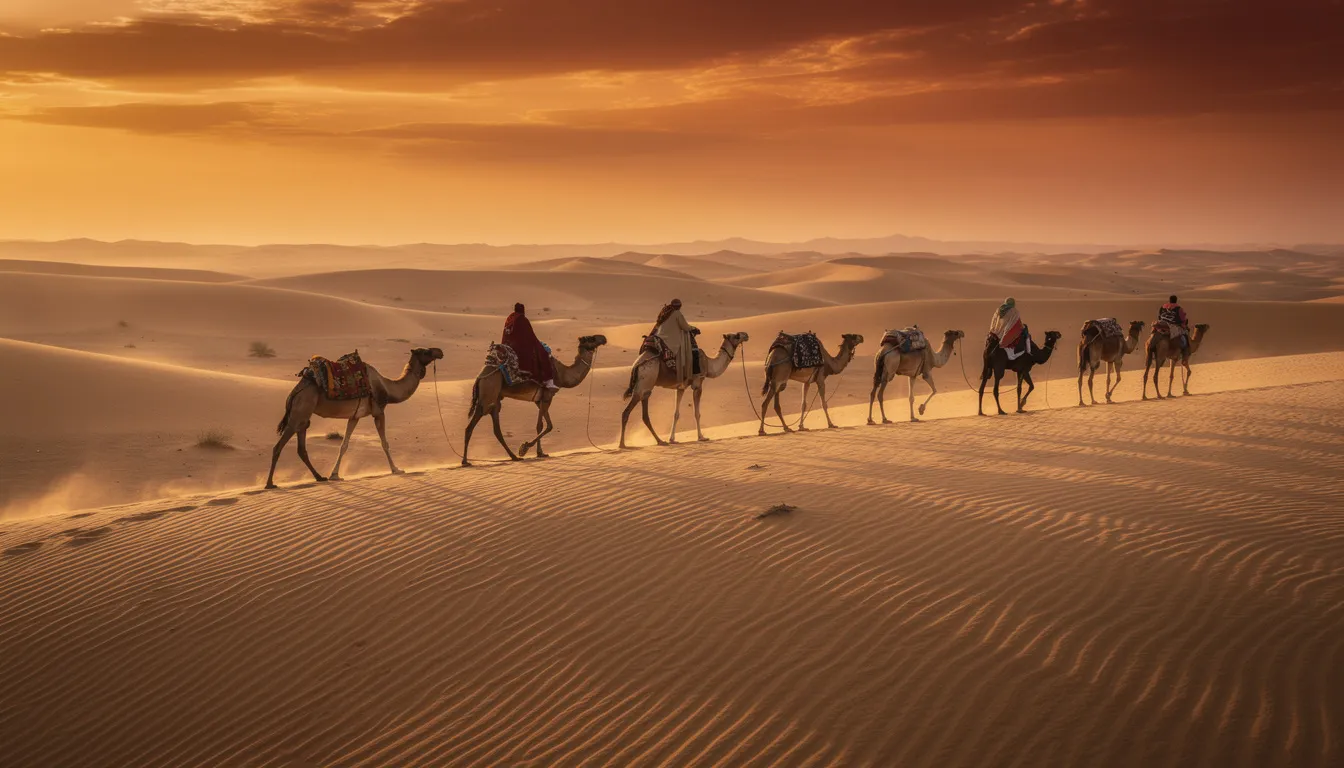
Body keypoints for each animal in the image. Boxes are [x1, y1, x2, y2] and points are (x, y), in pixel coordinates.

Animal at [266, 347, 444, 489]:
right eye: (426, 351)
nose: (440, 351)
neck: (387, 387)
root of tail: (294, 392)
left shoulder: (355, 416)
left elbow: (344, 445)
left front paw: (335, 475)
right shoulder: (379, 411)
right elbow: (384, 443)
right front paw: (396, 469)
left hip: (303, 416)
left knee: (301, 448)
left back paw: (320, 477)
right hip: (299, 411)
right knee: (278, 447)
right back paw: (270, 484)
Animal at [462, 335, 608, 465]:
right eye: (591, 338)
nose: (604, 338)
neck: (562, 375)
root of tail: (480, 377)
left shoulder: (540, 399)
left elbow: (547, 425)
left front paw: (540, 452)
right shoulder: (548, 395)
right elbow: (542, 425)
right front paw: (524, 448)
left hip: (495, 400)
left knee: (496, 429)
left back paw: (513, 457)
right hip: (488, 394)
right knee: (471, 426)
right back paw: (465, 461)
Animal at [619, 331, 750, 448]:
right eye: (737, 336)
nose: (746, 335)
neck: (708, 364)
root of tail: (637, 365)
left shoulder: (680, 388)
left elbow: (676, 413)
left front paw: (672, 439)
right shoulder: (697, 384)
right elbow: (697, 413)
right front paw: (701, 437)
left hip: (644, 386)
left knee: (643, 414)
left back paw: (658, 441)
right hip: (646, 381)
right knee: (628, 412)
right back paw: (625, 444)